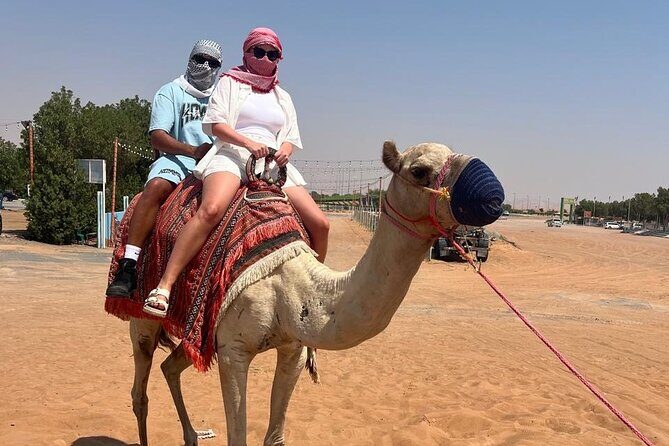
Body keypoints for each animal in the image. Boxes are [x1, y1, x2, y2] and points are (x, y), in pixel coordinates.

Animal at [126, 141, 504, 446]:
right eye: (420, 171)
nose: (493, 194)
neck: (290, 284)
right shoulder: (234, 351)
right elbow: (238, 436)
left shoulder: (291, 347)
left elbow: (274, 437)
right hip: (142, 318)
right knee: (140, 390)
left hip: (200, 330)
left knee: (170, 367)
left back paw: (192, 436)